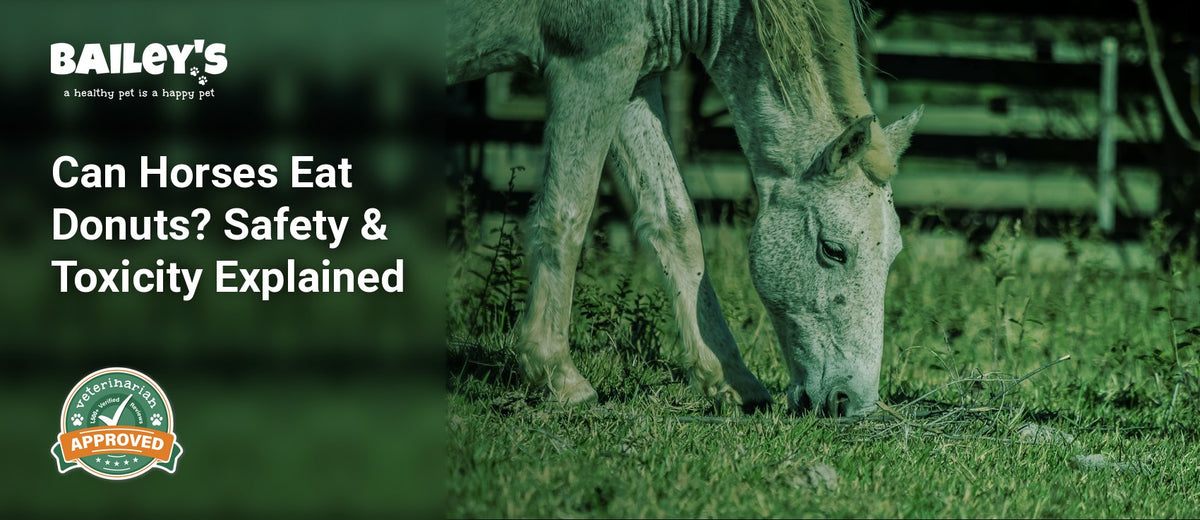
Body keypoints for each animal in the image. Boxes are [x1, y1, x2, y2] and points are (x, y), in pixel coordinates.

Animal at [447, 0, 923, 417]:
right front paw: (557, 373)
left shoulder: (633, 78)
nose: (854, 403)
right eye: (833, 250)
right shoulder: (589, 65)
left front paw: (731, 380)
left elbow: (676, 221)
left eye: (893, 255)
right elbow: (567, 211)